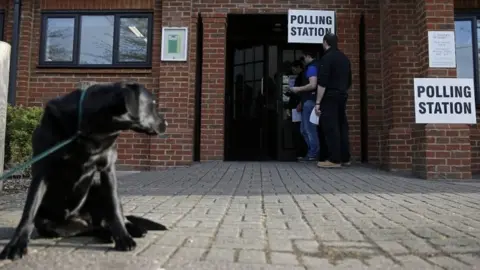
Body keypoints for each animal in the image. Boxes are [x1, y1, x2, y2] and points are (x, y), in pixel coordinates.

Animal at [0, 81, 169, 260]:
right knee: (93, 228)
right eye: (153, 104)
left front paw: (123, 238)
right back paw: (106, 234)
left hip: (97, 187)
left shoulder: (107, 169)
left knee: (117, 217)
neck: (90, 130)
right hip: (54, 224)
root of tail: (84, 218)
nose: (166, 124)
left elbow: (115, 208)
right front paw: (16, 244)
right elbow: (29, 210)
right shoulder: (42, 170)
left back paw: (133, 229)